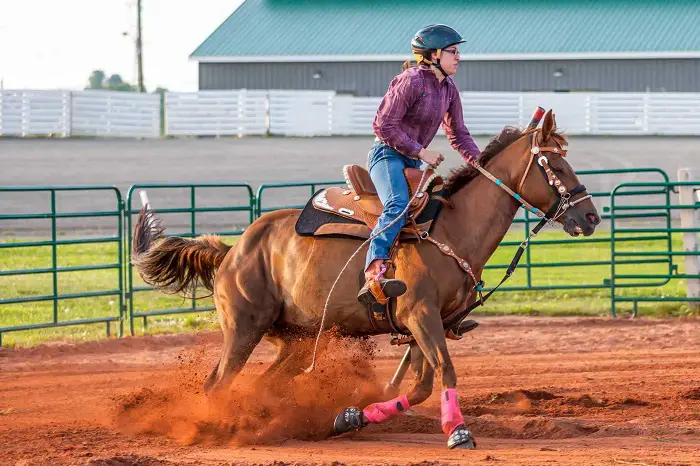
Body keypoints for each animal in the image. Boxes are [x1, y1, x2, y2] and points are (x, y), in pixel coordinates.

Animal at [131, 110, 601, 449]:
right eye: (556, 164)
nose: (591, 217)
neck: (452, 230)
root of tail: (233, 250)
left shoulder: (426, 325)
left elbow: (421, 385)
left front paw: (350, 416)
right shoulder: (421, 316)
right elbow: (444, 372)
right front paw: (459, 432)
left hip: (297, 339)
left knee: (262, 383)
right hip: (243, 329)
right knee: (217, 383)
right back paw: (215, 429)